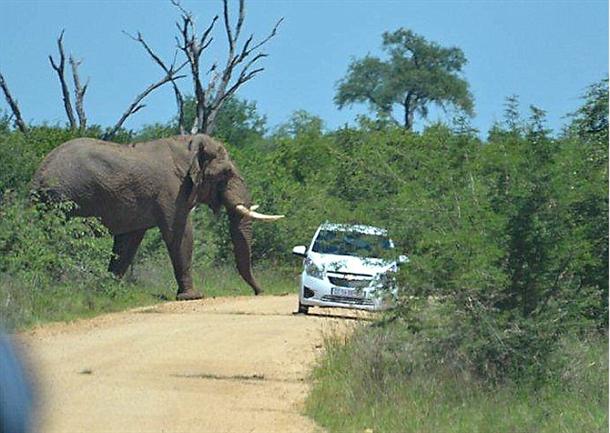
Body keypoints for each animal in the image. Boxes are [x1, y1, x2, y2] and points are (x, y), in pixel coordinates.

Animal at [30, 135, 282, 300]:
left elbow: (128, 242)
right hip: (64, 197)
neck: (187, 145)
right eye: (226, 173)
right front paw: (193, 297)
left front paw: (110, 291)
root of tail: (38, 175)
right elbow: (180, 233)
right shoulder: (172, 191)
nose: (260, 292)